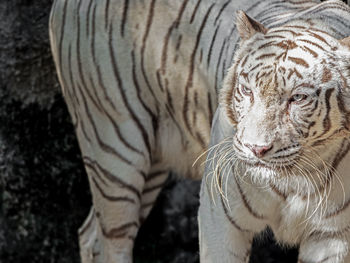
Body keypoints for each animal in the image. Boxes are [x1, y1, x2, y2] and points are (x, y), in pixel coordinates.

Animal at [48, 0, 350, 262]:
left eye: (298, 98)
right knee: (111, 239)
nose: (256, 149)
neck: (296, 180)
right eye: (247, 91)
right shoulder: (220, 216)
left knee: (91, 235)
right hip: (115, 146)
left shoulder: (333, 236)